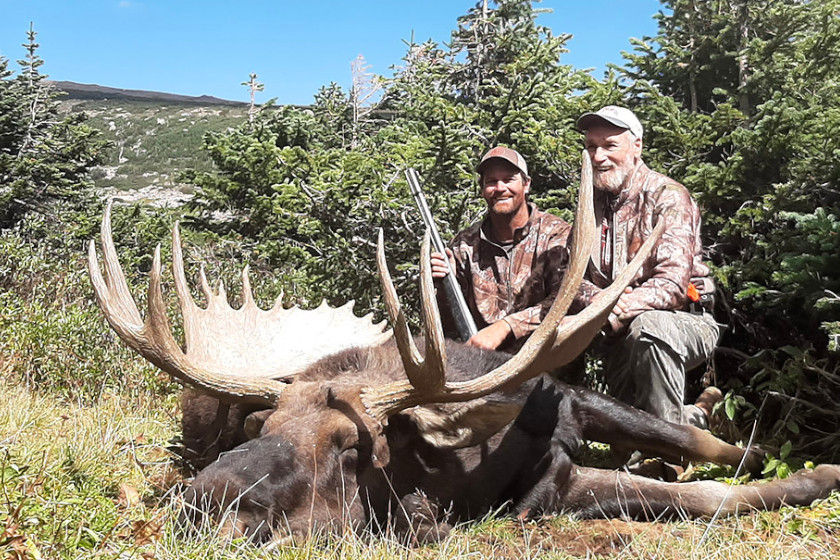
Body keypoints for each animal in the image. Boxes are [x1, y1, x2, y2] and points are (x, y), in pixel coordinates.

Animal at [88, 152, 840, 544]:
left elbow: (707, 468)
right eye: (262, 424)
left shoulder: (567, 401)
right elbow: (698, 491)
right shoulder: (543, 493)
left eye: (350, 444)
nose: (204, 501)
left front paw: (809, 470)